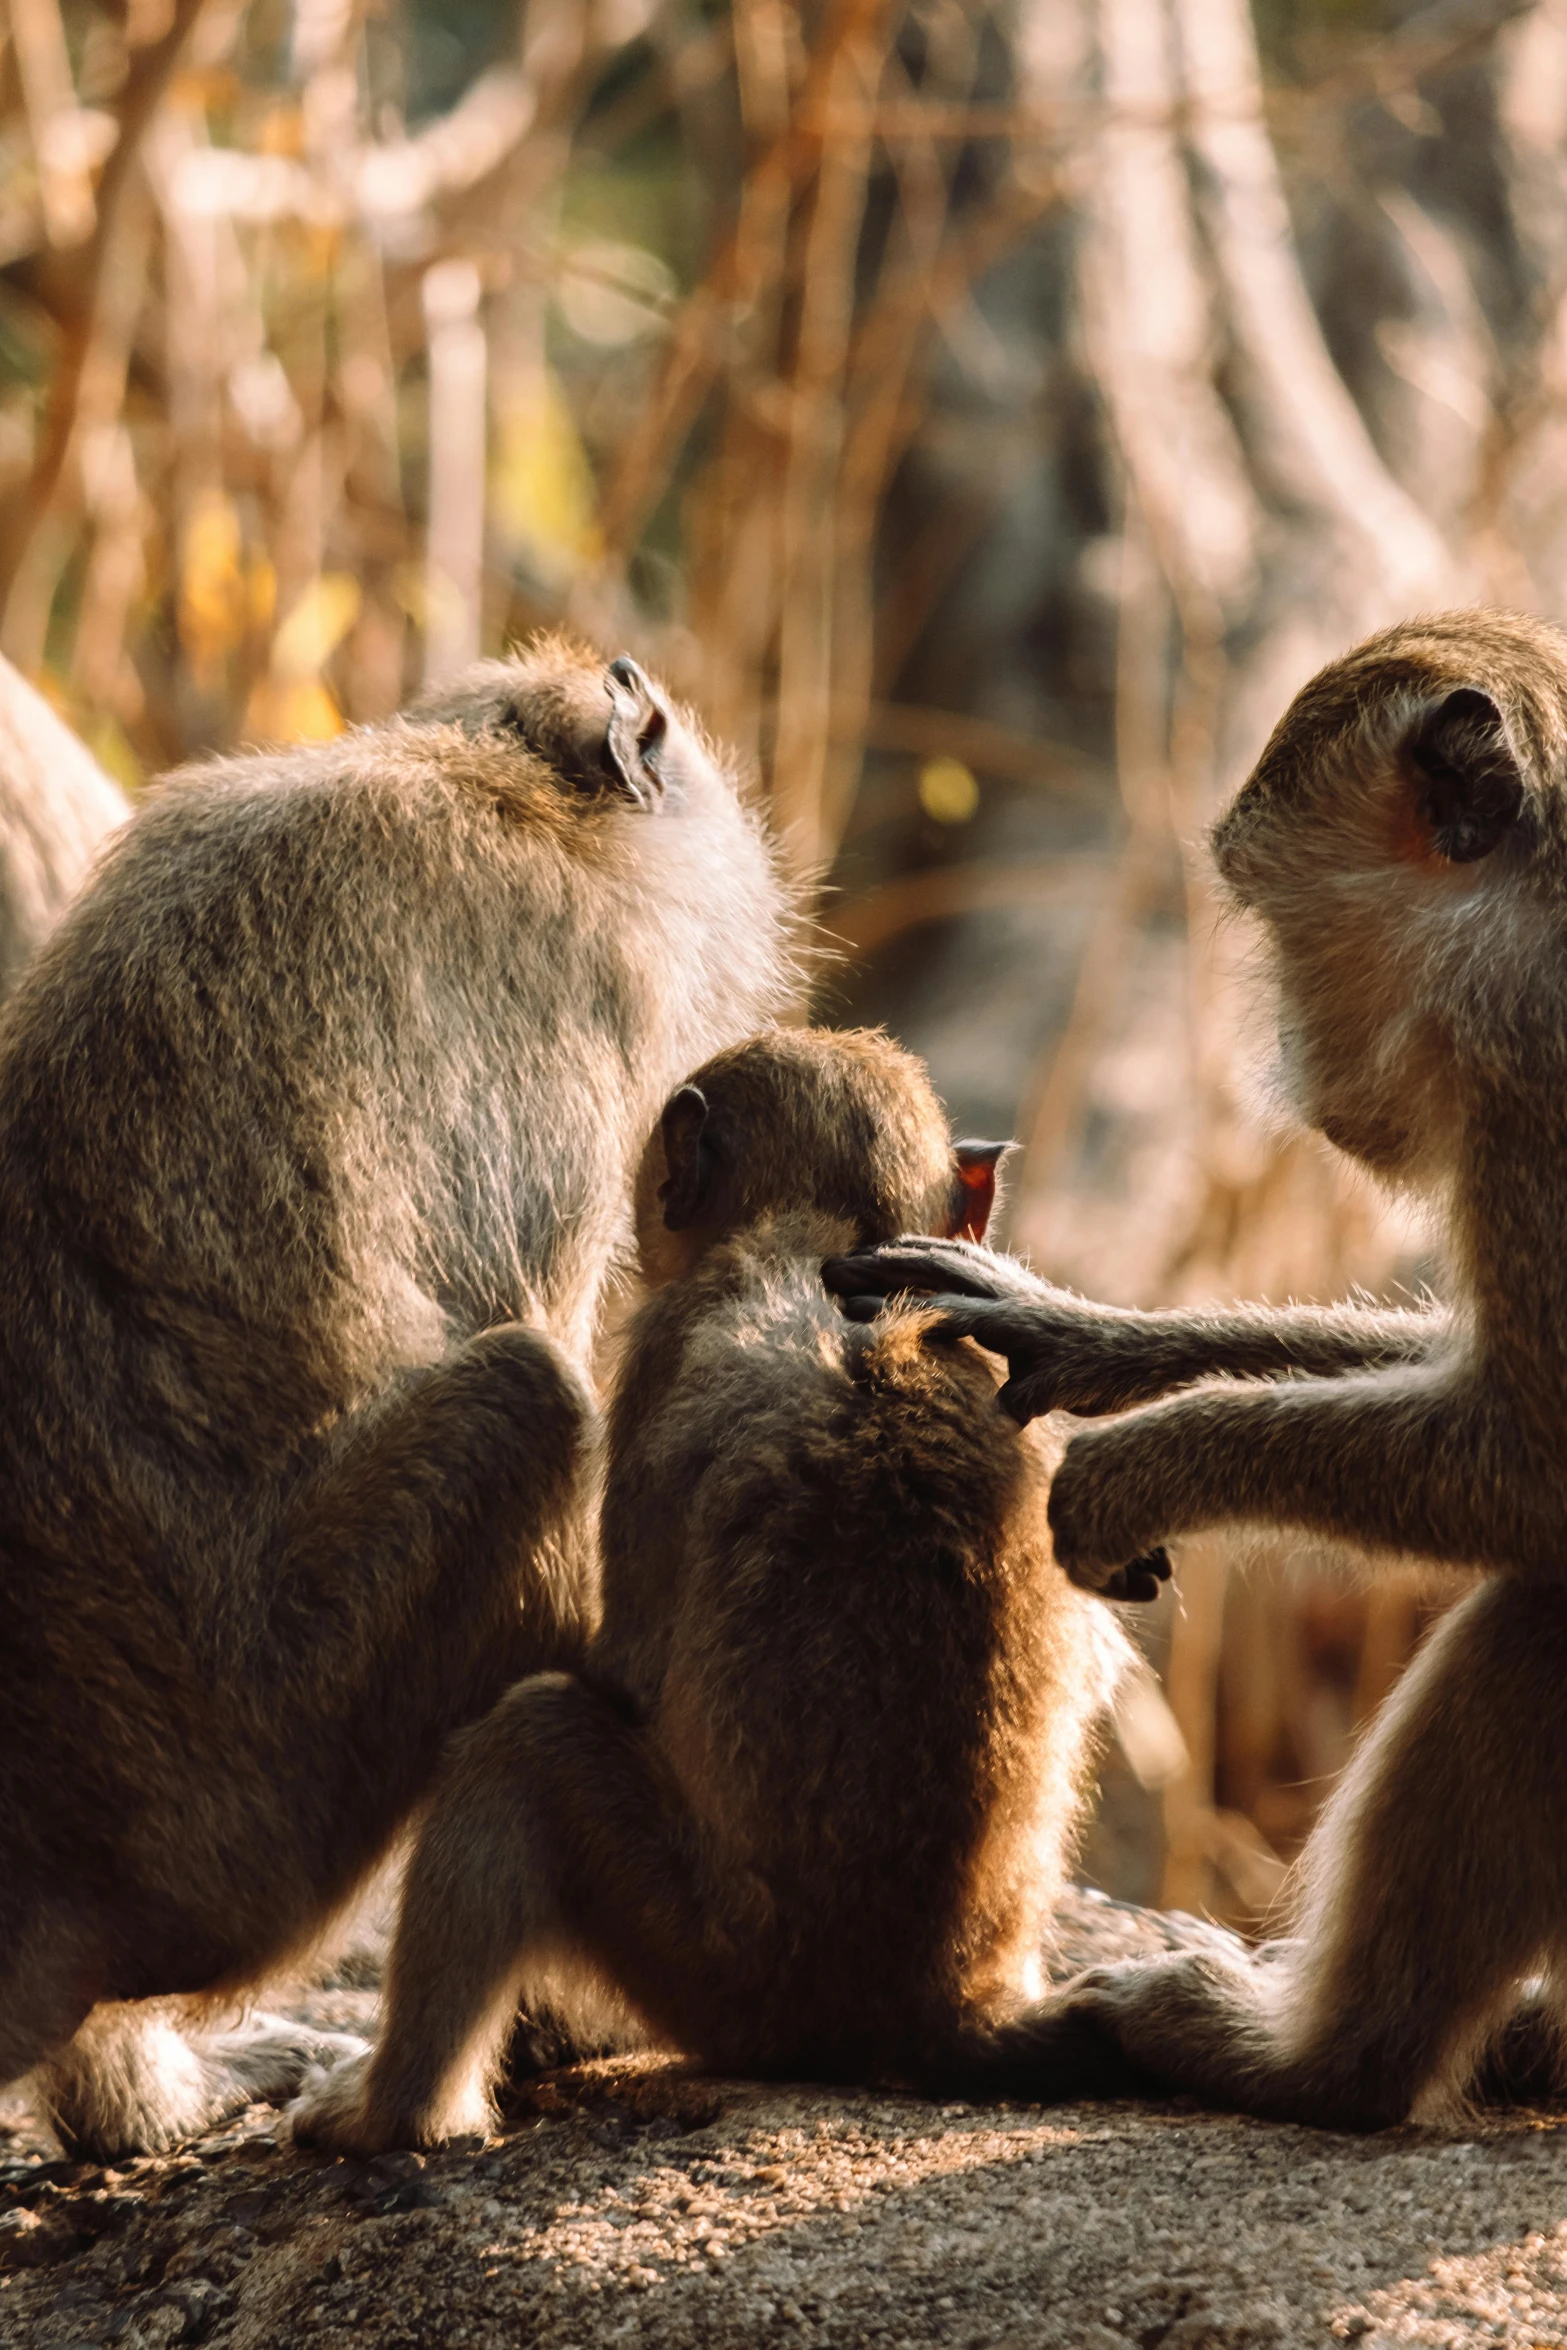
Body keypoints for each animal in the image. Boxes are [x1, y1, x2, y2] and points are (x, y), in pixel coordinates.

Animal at [287, 1019, 1141, 2152]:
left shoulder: (655, 1355)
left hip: (716, 1972)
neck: (829, 1247)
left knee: (529, 1742)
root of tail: (932, 2006)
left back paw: (391, 2115)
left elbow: (618, 1670)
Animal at [826, 606, 1567, 2133]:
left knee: (1538, 1608)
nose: (1285, 1057)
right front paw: (1090, 1339)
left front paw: (1150, 1459)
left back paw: (1325, 2066)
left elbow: (1536, 1457)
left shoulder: (1518, 1036)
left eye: (1279, 919)